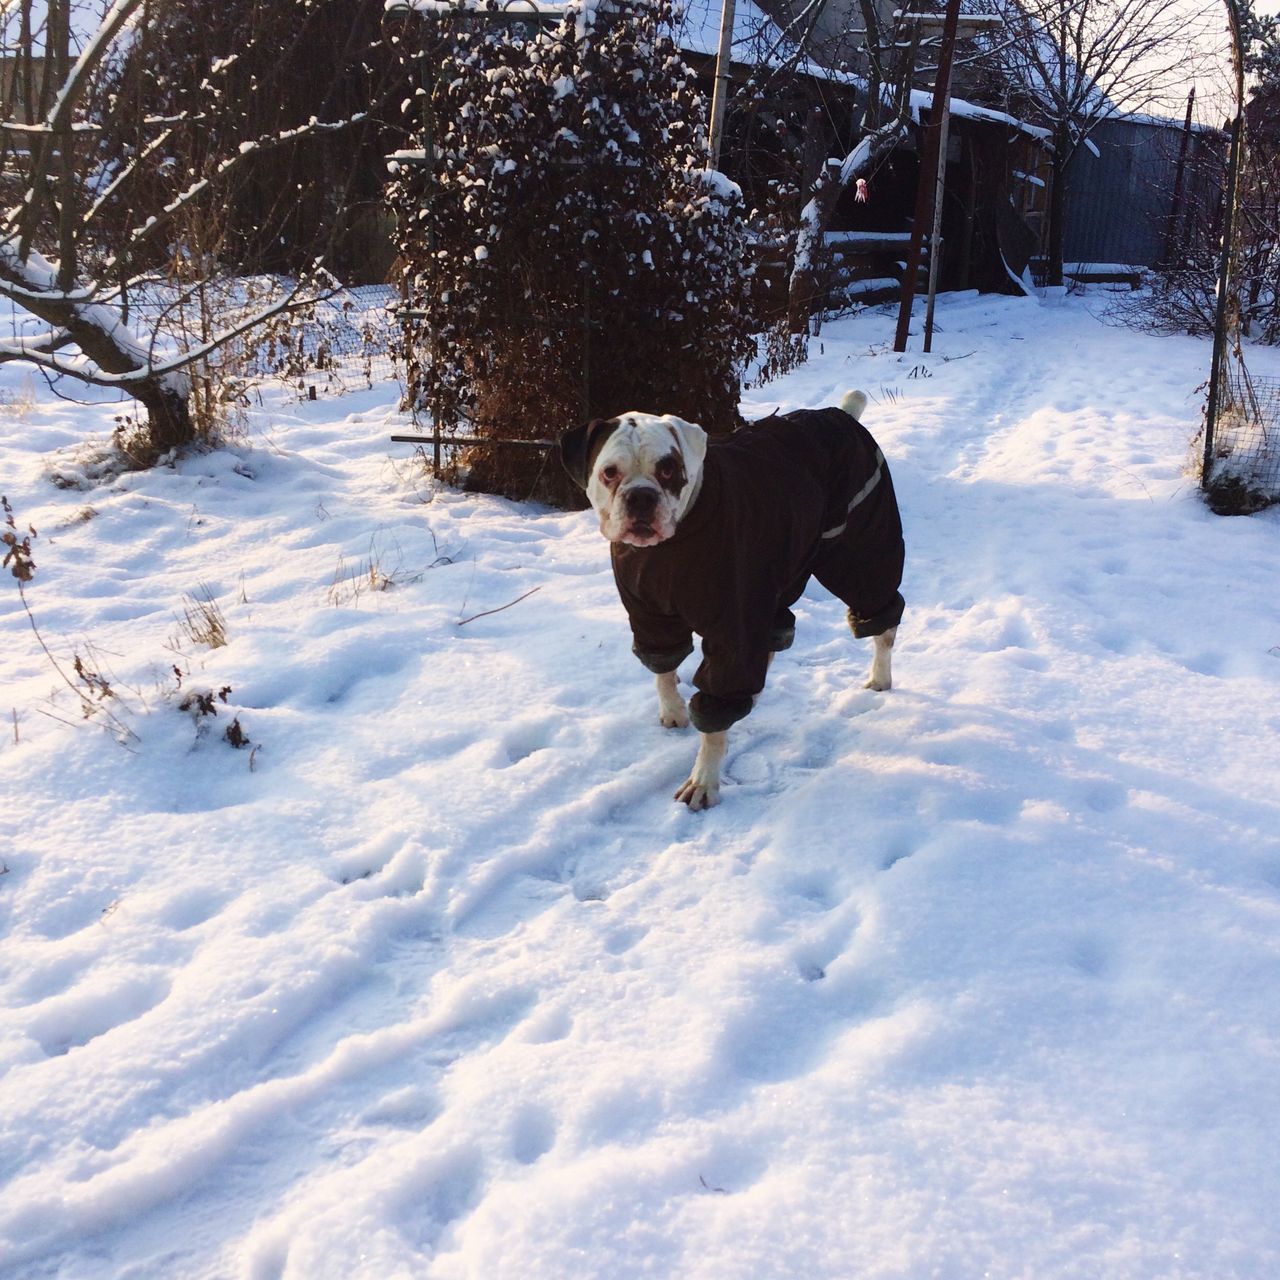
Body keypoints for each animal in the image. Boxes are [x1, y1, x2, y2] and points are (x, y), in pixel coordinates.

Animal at [563, 391, 911, 808]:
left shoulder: (734, 627)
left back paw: (880, 676)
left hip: (860, 554)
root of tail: (841, 415)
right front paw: (673, 711)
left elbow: (715, 719)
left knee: (883, 622)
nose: (641, 497)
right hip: (785, 565)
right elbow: (663, 670)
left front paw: (703, 780)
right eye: (609, 473)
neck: (669, 548)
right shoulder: (650, 617)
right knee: (777, 631)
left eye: (668, 469)